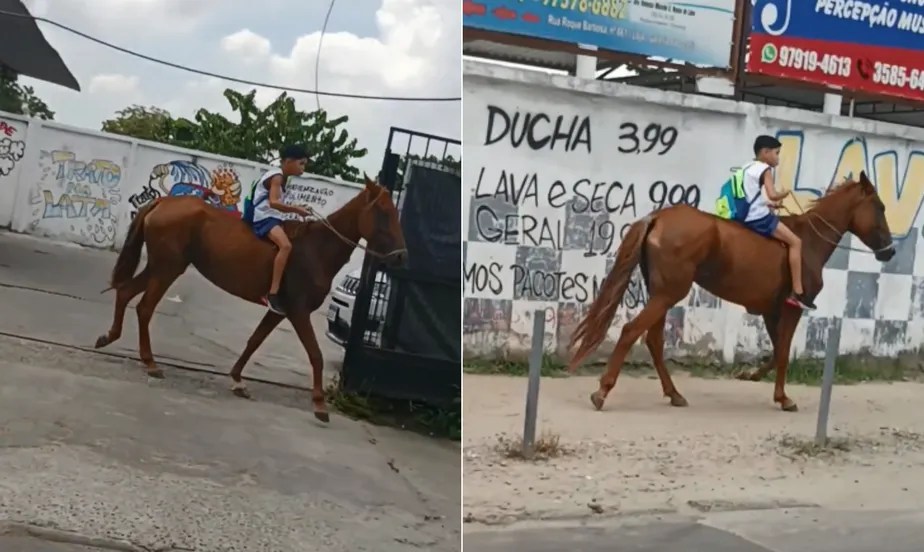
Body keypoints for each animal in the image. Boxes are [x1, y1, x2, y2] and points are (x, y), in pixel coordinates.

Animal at [94, 175, 408, 420]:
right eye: (383, 212)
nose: (401, 257)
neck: (317, 249)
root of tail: (163, 202)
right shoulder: (298, 311)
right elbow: (316, 355)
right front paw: (319, 404)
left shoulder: (279, 310)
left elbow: (254, 341)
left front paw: (236, 379)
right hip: (168, 269)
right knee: (145, 308)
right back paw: (150, 363)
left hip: (160, 267)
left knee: (126, 292)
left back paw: (109, 336)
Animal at [572, 174, 896, 414]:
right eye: (879, 207)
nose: (890, 251)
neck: (808, 242)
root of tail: (658, 218)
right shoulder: (792, 308)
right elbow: (783, 353)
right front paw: (783, 398)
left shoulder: (770, 311)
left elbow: (778, 351)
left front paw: (754, 377)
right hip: (668, 294)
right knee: (631, 331)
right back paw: (602, 392)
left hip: (660, 294)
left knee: (653, 340)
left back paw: (674, 394)